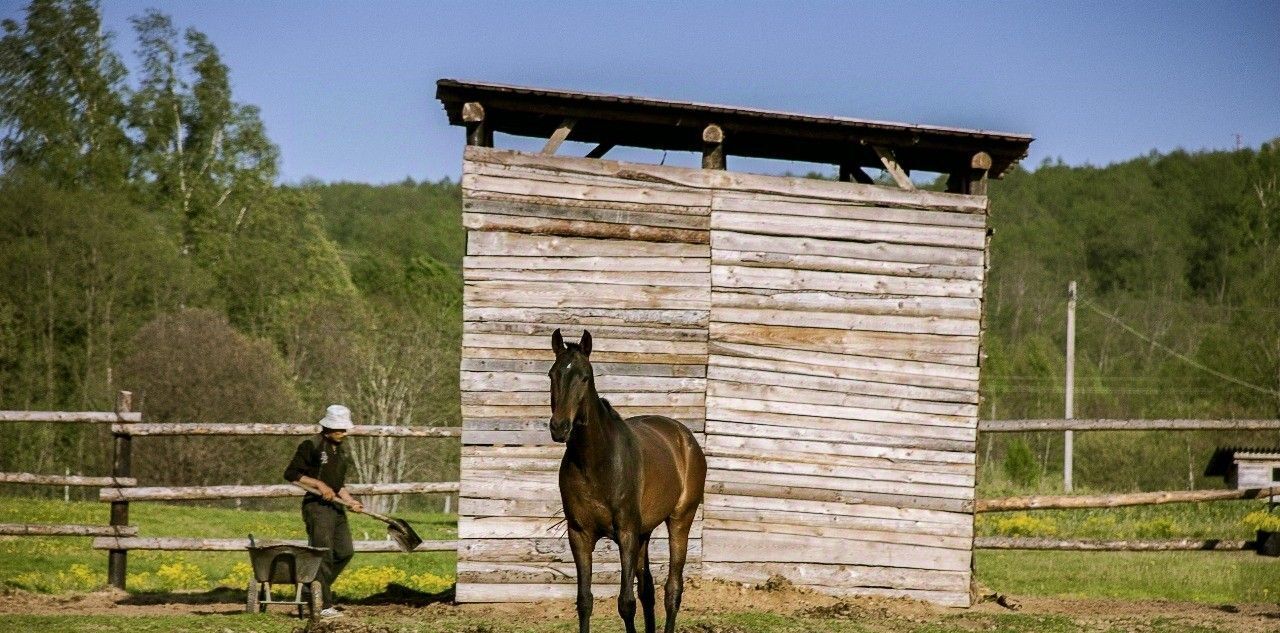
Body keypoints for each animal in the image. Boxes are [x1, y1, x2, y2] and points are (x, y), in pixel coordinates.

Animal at [550, 329, 711, 631]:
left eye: (585, 377)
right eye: (552, 374)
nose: (559, 427)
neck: (596, 462)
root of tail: (685, 438)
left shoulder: (625, 533)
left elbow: (625, 603)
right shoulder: (579, 534)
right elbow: (585, 601)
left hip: (680, 520)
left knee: (672, 590)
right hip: (643, 533)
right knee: (648, 590)